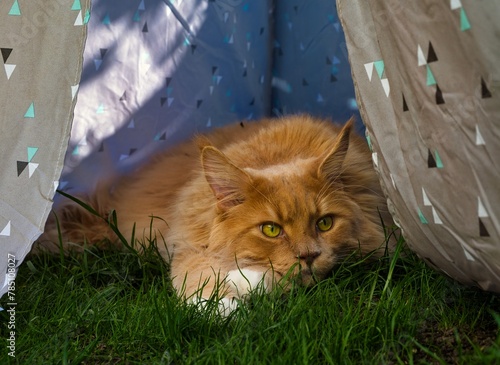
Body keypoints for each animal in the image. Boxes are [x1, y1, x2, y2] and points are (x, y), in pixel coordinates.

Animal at [36, 115, 394, 314]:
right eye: (271, 230)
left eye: (325, 223)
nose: (308, 256)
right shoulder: (188, 245)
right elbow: (198, 277)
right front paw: (226, 306)